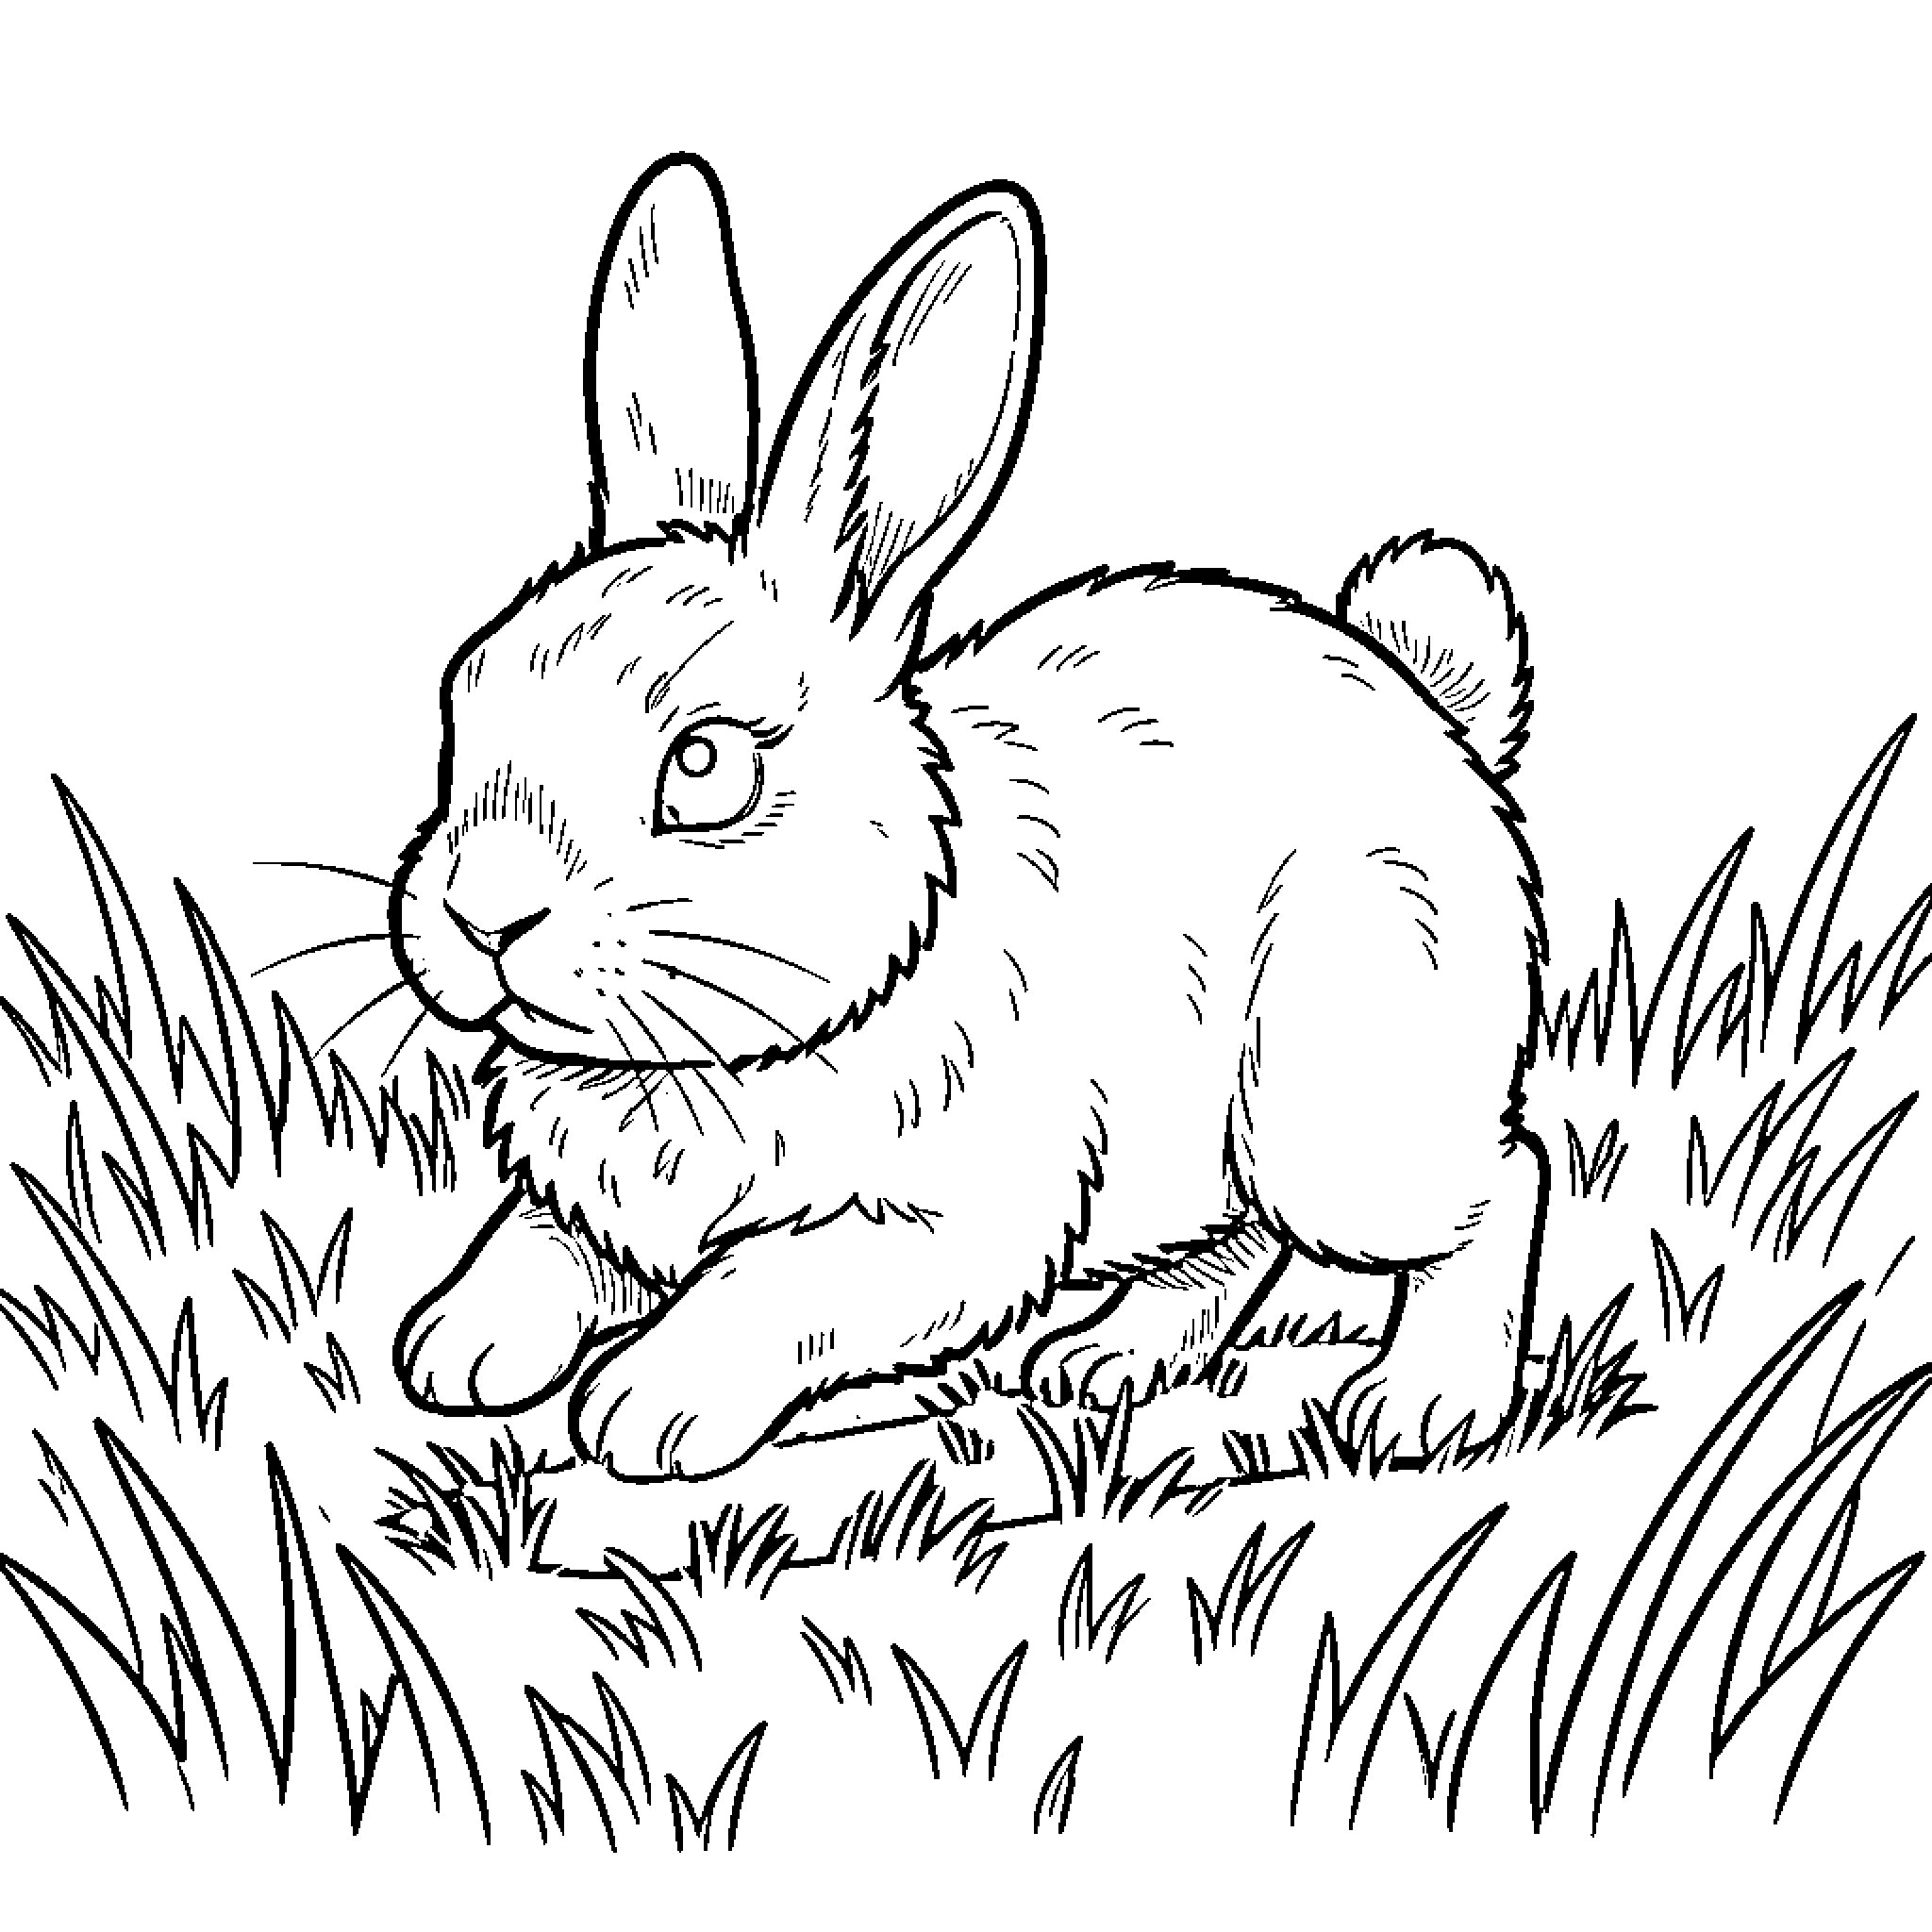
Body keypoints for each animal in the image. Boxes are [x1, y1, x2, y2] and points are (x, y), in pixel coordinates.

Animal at [388, 152, 1549, 1483]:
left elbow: (767, 1286)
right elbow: (539, 1241)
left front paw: (645, 1408)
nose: (481, 915)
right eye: (462, 700)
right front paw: (455, 1346)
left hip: (1333, 1097)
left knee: (1494, 1186)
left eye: (705, 766)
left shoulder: (937, 1219)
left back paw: (1420, 1408)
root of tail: (1441, 721)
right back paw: (1106, 1360)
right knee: (1234, 1240)